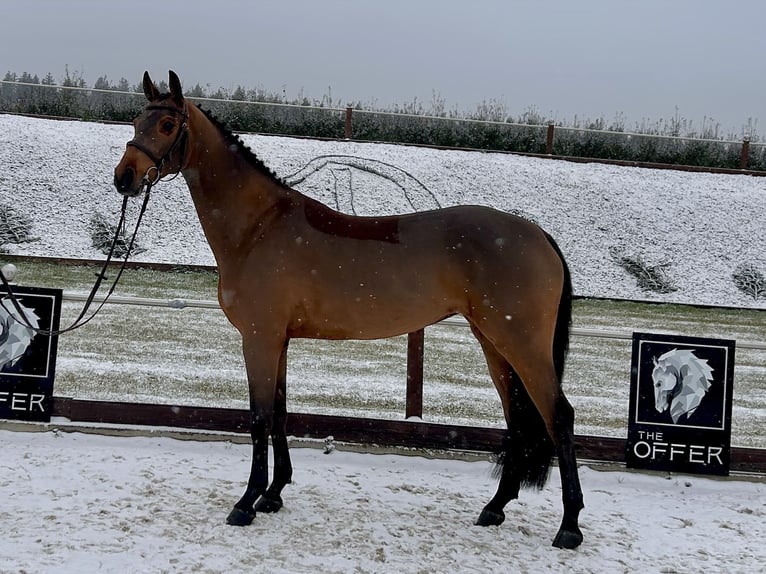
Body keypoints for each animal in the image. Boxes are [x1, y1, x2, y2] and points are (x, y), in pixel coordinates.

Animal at [112, 71, 588, 548]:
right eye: (136, 120)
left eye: (168, 125)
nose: (124, 177)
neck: (259, 226)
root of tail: (537, 234)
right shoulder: (279, 341)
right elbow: (281, 412)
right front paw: (273, 494)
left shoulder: (259, 339)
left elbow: (259, 417)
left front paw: (246, 503)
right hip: (494, 343)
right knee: (517, 420)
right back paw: (495, 507)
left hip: (521, 344)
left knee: (558, 416)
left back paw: (568, 526)